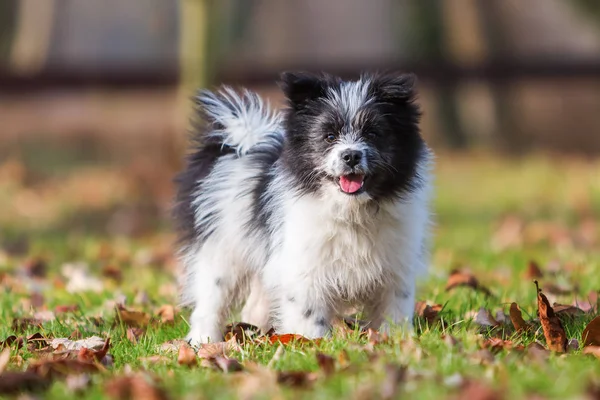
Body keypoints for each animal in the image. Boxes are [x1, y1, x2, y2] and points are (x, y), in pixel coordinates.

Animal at [172, 70, 432, 346]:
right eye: (329, 136)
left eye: (372, 134)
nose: (351, 155)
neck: (350, 212)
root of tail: (237, 146)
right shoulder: (304, 270)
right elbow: (309, 314)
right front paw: (311, 343)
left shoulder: (396, 271)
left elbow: (394, 311)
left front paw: (395, 341)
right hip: (221, 253)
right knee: (210, 302)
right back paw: (203, 340)